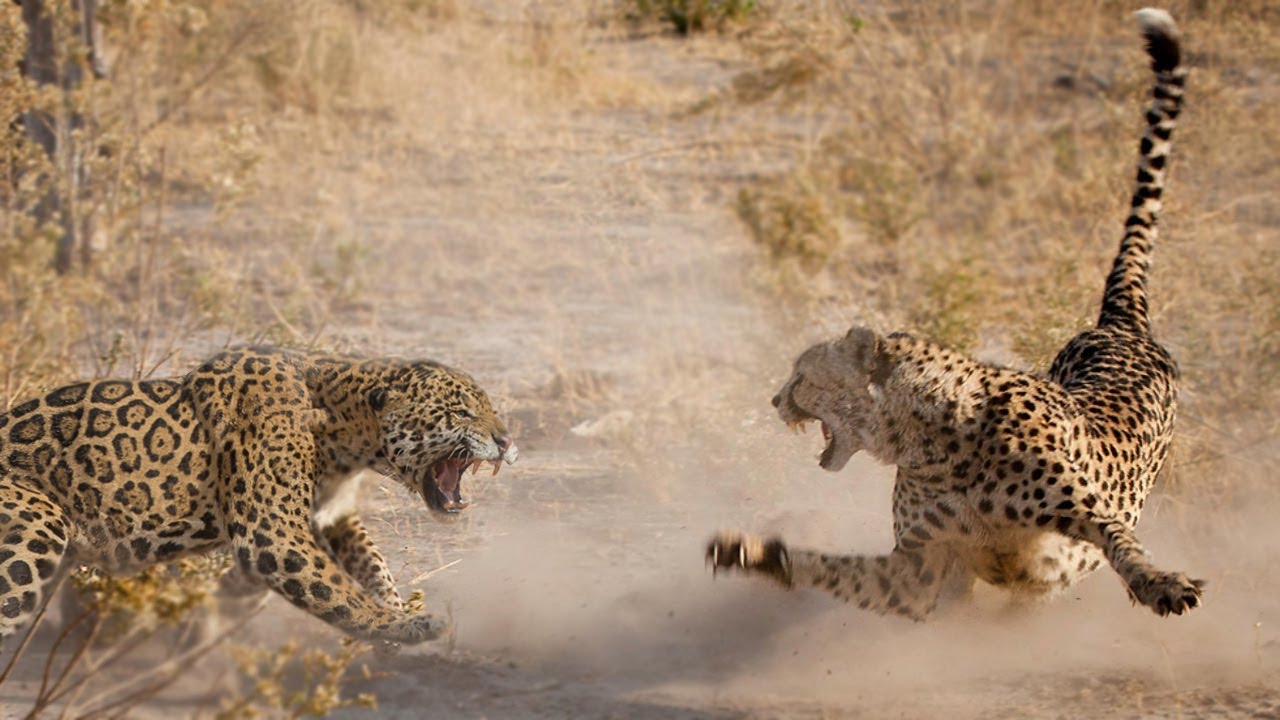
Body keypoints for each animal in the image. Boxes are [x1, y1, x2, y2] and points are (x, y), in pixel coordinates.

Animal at [0, 346, 517, 644]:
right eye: (461, 411)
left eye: (488, 405)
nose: (507, 440)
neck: (345, 429)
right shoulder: (272, 529)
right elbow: (339, 591)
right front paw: (402, 625)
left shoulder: (331, 514)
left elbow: (370, 563)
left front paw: (395, 607)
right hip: (36, 524)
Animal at [707, 9, 1204, 620]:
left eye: (803, 375)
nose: (776, 400)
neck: (934, 442)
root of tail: (1118, 325)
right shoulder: (919, 573)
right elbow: (833, 568)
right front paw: (751, 554)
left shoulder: (1080, 512)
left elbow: (1117, 537)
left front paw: (1160, 583)